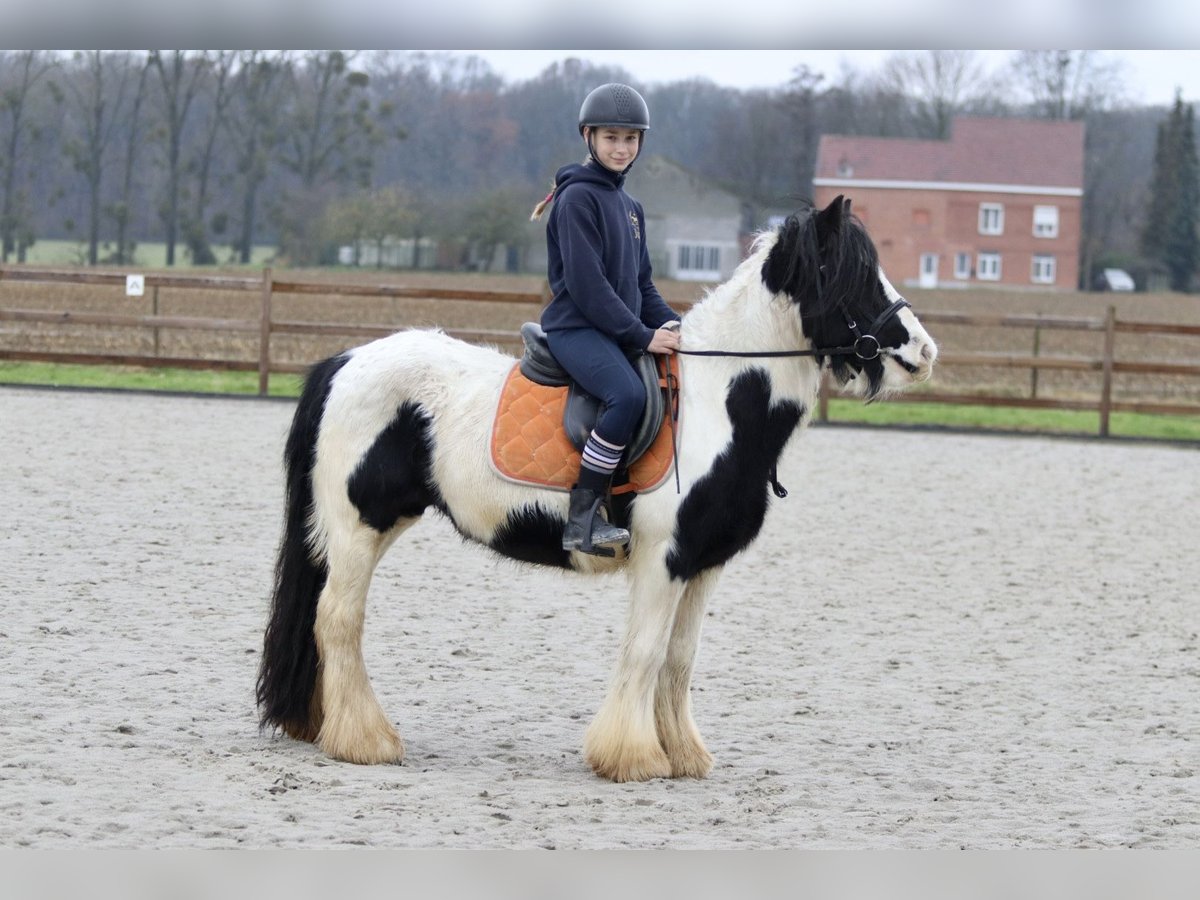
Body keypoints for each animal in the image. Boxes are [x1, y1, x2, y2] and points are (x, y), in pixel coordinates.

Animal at [260, 195, 936, 782]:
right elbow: (644, 652)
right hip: (358, 528)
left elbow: (679, 659)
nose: (923, 351)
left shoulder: (703, 564)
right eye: (842, 270)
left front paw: (683, 754)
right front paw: (632, 757)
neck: (718, 402)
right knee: (338, 620)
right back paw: (364, 741)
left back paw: (324, 725)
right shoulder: (662, 560)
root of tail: (345, 362)